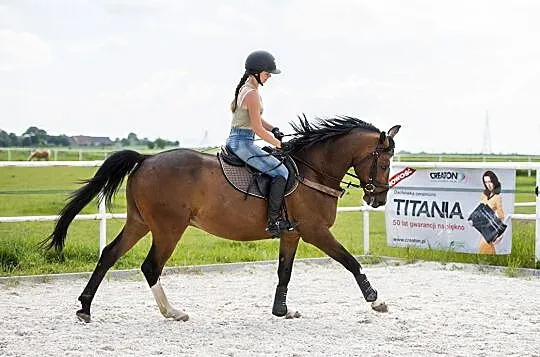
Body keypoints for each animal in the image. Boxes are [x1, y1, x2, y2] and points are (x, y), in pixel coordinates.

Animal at [43, 115, 400, 322]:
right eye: (384, 163)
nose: (379, 199)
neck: (312, 170)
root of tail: (146, 158)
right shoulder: (315, 231)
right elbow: (351, 262)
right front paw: (376, 300)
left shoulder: (292, 234)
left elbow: (284, 272)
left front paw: (281, 310)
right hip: (168, 229)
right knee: (150, 267)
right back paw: (172, 312)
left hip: (139, 223)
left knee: (109, 255)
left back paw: (85, 308)